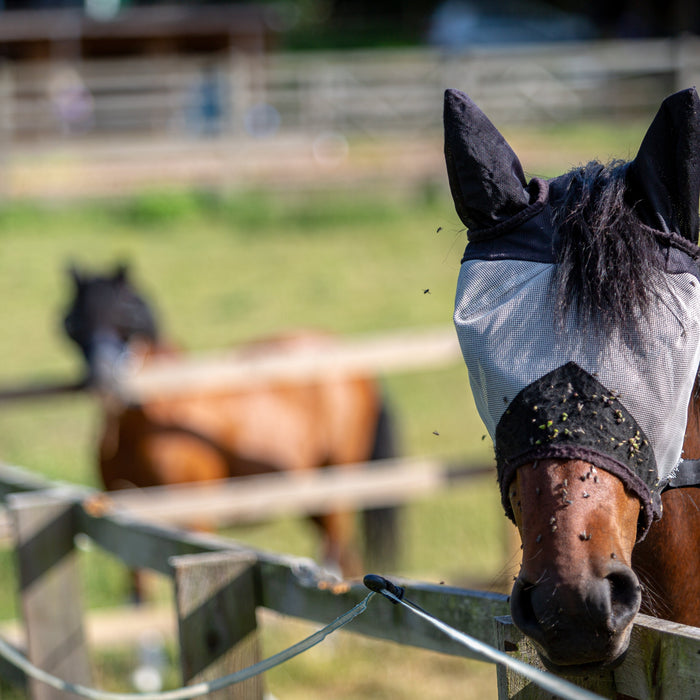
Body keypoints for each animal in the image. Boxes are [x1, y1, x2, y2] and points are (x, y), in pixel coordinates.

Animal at [62, 263, 398, 588]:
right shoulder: (126, 523)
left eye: (127, 317)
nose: (102, 379)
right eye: (72, 324)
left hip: (336, 489)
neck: (148, 426)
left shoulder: (197, 518)